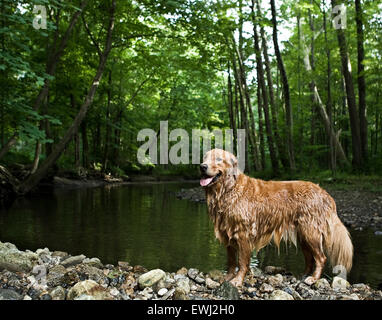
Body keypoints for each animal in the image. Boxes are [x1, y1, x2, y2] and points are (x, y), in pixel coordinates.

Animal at [200, 149, 352, 286]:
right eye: (205, 157)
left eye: (218, 159)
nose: (202, 166)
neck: (228, 189)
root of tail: (324, 193)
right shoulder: (228, 233)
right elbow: (231, 262)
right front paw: (228, 277)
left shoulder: (243, 234)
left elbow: (242, 262)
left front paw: (237, 280)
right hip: (303, 235)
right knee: (310, 258)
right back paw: (303, 275)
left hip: (311, 232)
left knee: (321, 257)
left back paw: (313, 278)